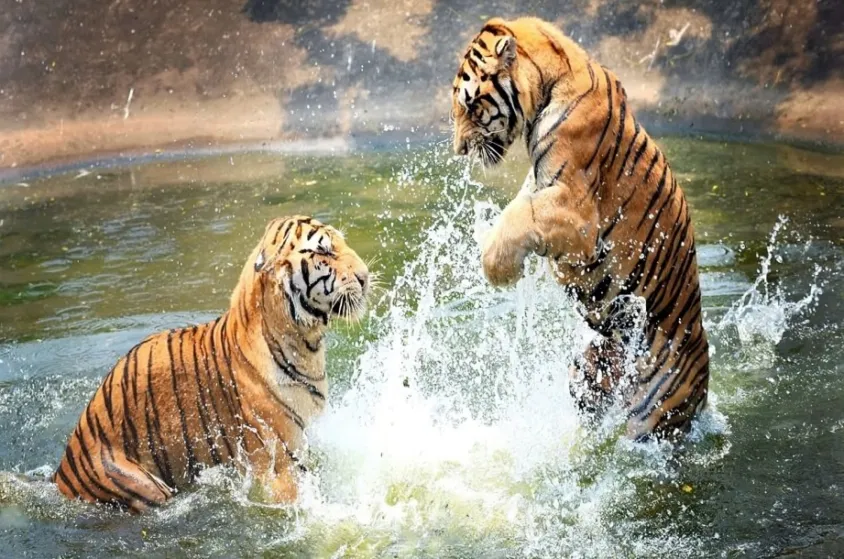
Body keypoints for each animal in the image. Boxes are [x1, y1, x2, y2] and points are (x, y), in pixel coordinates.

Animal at [53, 215, 370, 512]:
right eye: (324, 252)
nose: (366, 277)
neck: (306, 345)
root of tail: (62, 471)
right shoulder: (280, 466)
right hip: (138, 483)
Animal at [451, 17, 710, 441]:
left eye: (471, 105)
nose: (459, 150)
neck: (549, 82)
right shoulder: (540, 185)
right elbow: (517, 209)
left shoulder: (578, 212)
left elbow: (522, 217)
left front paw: (498, 268)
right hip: (588, 373)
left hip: (653, 415)